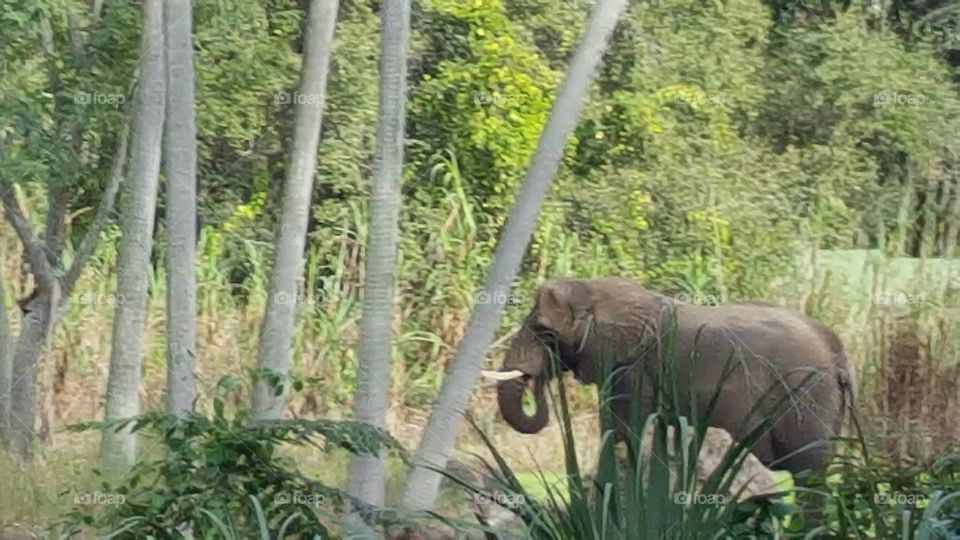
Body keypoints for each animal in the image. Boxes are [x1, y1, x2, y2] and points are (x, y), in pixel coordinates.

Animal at [484, 276, 860, 474]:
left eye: (545, 332)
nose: (537, 380)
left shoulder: (630, 371)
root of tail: (837, 351)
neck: (595, 291)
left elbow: (620, 431)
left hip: (806, 397)